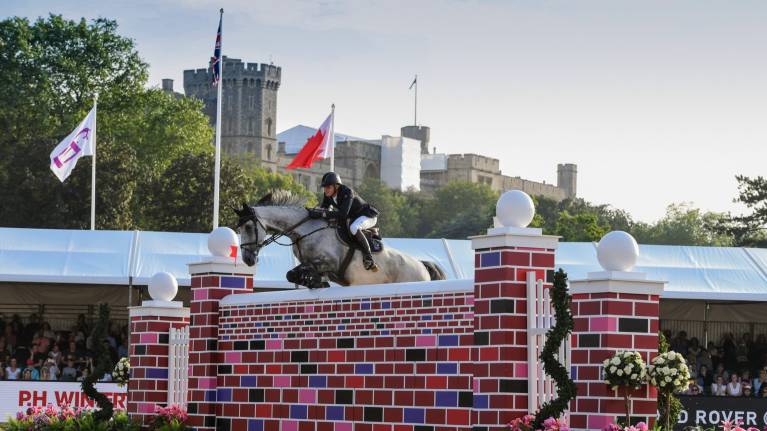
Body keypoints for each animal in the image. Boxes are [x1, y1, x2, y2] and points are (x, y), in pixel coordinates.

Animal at [235, 190, 446, 287]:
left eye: (248, 227)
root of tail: (422, 265)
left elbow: (298, 273)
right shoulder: (312, 264)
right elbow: (292, 274)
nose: (248, 259)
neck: (304, 229)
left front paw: (315, 282)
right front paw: (315, 282)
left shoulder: (328, 263)